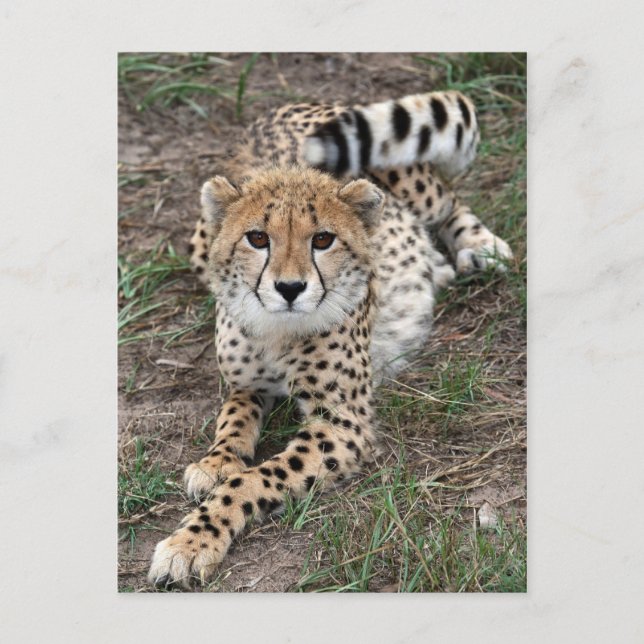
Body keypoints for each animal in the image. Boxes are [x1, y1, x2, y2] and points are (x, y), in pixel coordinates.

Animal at [148, 90, 513, 588]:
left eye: (323, 239)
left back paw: (479, 246)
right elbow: (232, 418)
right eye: (257, 238)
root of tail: (290, 107)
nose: (289, 288)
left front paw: (194, 541)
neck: (277, 330)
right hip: (200, 241)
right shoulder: (246, 384)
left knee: (451, 199)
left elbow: (255, 479)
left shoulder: (340, 423)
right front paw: (216, 462)